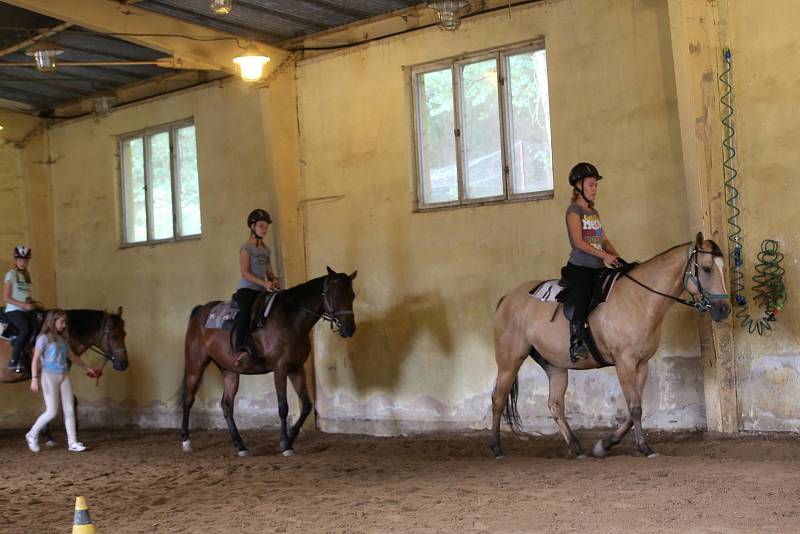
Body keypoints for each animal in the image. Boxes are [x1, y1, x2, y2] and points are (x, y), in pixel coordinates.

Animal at [183, 266, 358, 456]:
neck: (291, 319)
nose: (350, 329)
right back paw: (185, 441)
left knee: (226, 405)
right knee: (188, 399)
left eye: (352, 295)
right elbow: (283, 407)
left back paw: (241, 446)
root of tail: (200, 312)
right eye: (336, 294)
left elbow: (306, 405)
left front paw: (290, 438)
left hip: (230, 371)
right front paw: (286, 444)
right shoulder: (280, 368)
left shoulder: (296, 368)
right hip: (195, 366)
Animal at [490, 234, 728, 460]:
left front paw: (604, 444)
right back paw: (496, 449)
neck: (639, 299)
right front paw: (644, 448)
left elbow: (634, 409)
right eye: (706, 268)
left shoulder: (641, 364)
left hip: (555, 366)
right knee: (498, 400)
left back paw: (576, 448)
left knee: (555, 404)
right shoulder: (624, 363)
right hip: (509, 361)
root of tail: (508, 298)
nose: (724, 309)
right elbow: (635, 407)